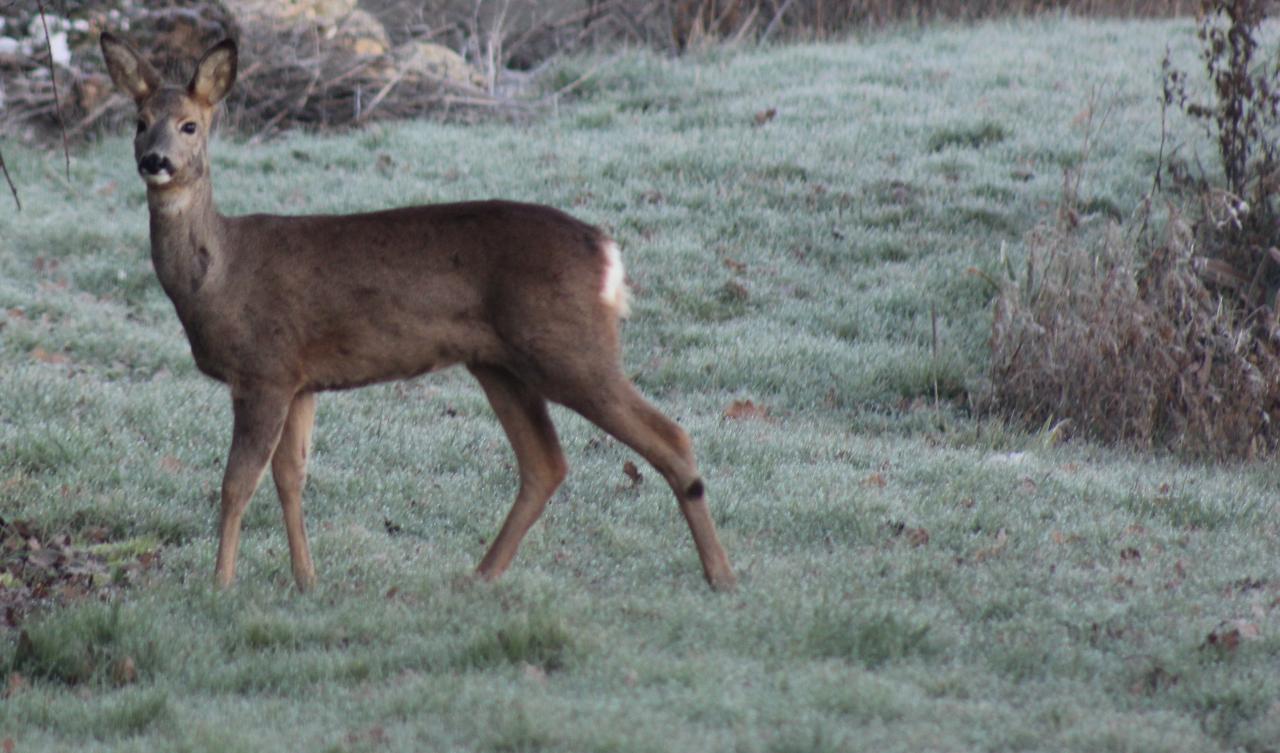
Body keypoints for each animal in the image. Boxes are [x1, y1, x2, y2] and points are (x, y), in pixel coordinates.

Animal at [99, 32, 742, 591]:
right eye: (138, 122)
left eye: (190, 124)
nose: (155, 160)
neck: (218, 275)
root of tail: (607, 252)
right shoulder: (300, 380)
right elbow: (291, 479)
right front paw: (307, 582)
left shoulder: (264, 368)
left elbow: (236, 483)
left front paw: (220, 587)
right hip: (498, 362)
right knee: (545, 463)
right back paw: (480, 575)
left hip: (571, 347)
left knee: (670, 435)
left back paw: (721, 577)